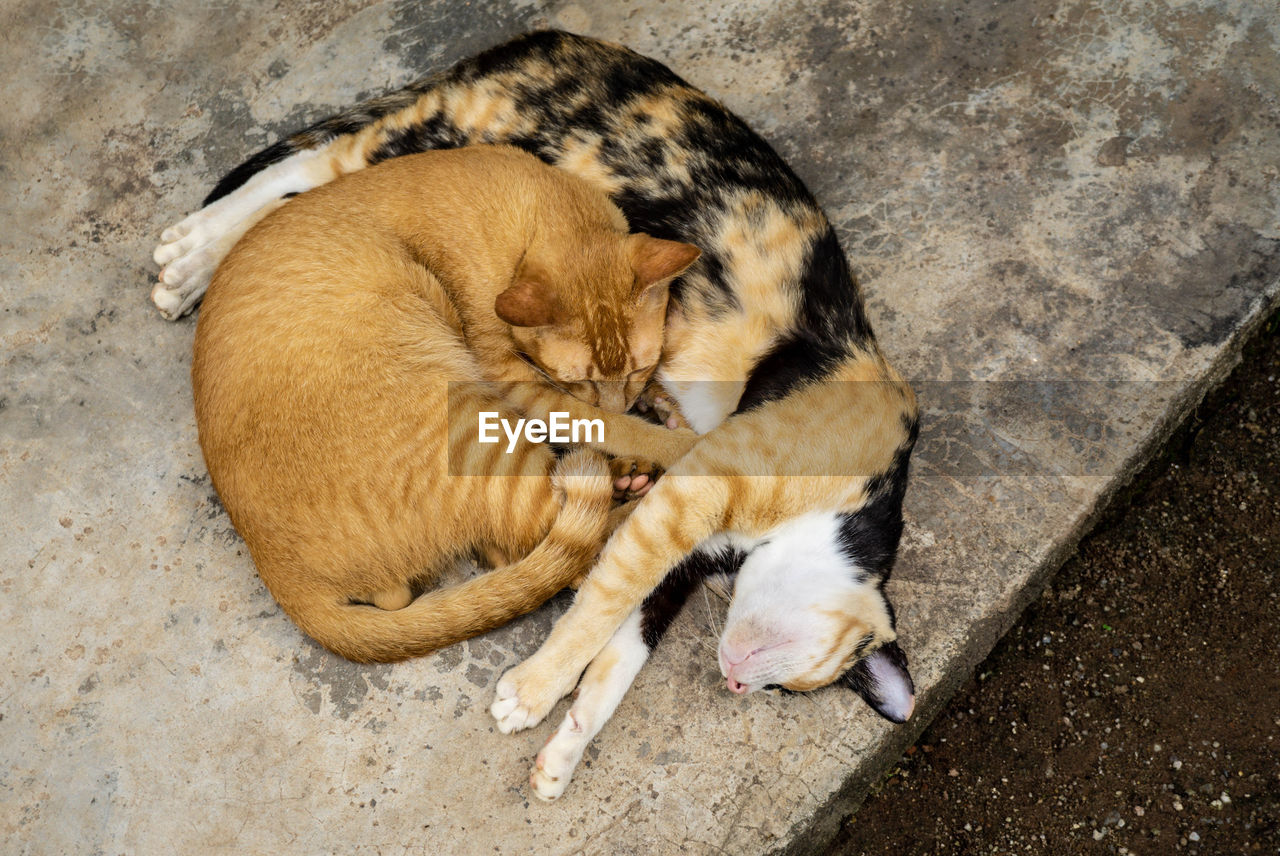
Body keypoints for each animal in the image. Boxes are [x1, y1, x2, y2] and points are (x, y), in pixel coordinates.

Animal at [192, 145, 701, 660]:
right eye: (577, 378)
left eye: (638, 368)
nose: (622, 400)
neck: (525, 215)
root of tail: (280, 575)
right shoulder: (512, 381)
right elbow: (607, 424)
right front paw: (684, 441)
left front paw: (663, 405)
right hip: (477, 425)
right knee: (576, 546)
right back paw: (639, 486)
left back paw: (627, 475)